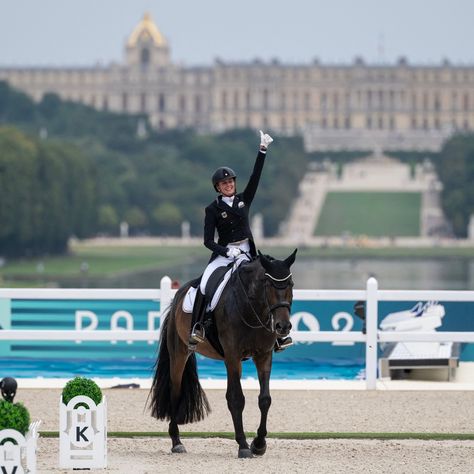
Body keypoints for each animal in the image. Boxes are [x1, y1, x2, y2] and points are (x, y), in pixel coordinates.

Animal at [148, 250, 296, 458]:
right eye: (268, 285)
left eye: (291, 284)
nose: (283, 327)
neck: (251, 308)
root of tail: (178, 294)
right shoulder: (232, 357)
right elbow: (236, 399)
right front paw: (243, 445)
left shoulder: (264, 355)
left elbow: (265, 399)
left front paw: (259, 444)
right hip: (179, 354)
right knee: (175, 391)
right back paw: (176, 442)